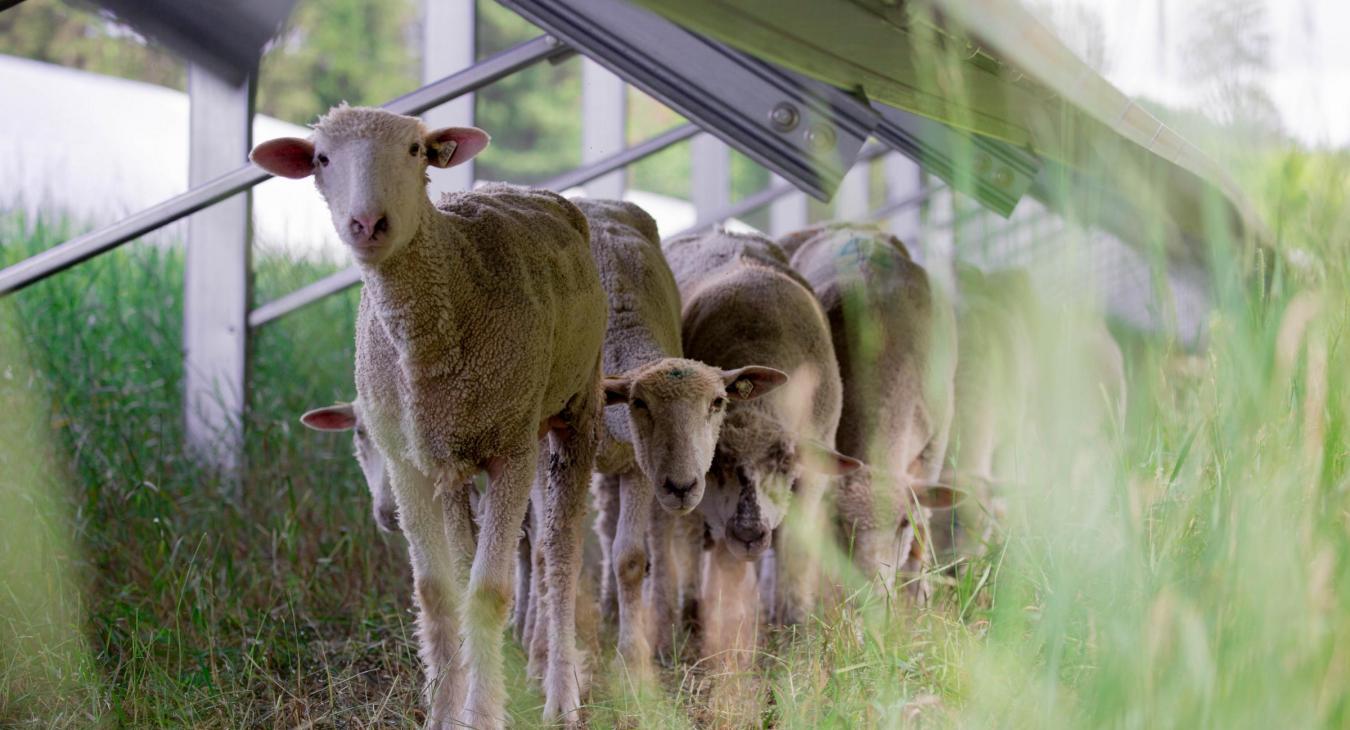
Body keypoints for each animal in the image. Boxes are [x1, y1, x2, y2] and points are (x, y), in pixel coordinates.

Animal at [252, 103, 607, 728]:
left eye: (416, 150)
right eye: (321, 158)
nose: (368, 224)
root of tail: (517, 188)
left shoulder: (512, 449)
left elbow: (488, 592)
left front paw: (484, 713)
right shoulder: (409, 462)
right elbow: (438, 594)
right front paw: (447, 711)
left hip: (571, 411)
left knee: (559, 556)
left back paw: (561, 694)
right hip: (456, 455)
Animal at [664, 226, 864, 647]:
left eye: (785, 461)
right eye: (714, 464)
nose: (749, 533)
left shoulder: (811, 479)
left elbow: (796, 557)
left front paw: (795, 630)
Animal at [783, 222, 961, 596]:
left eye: (903, 524)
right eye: (840, 526)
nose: (873, 595)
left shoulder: (935, 446)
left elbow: (925, 521)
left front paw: (921, 594)